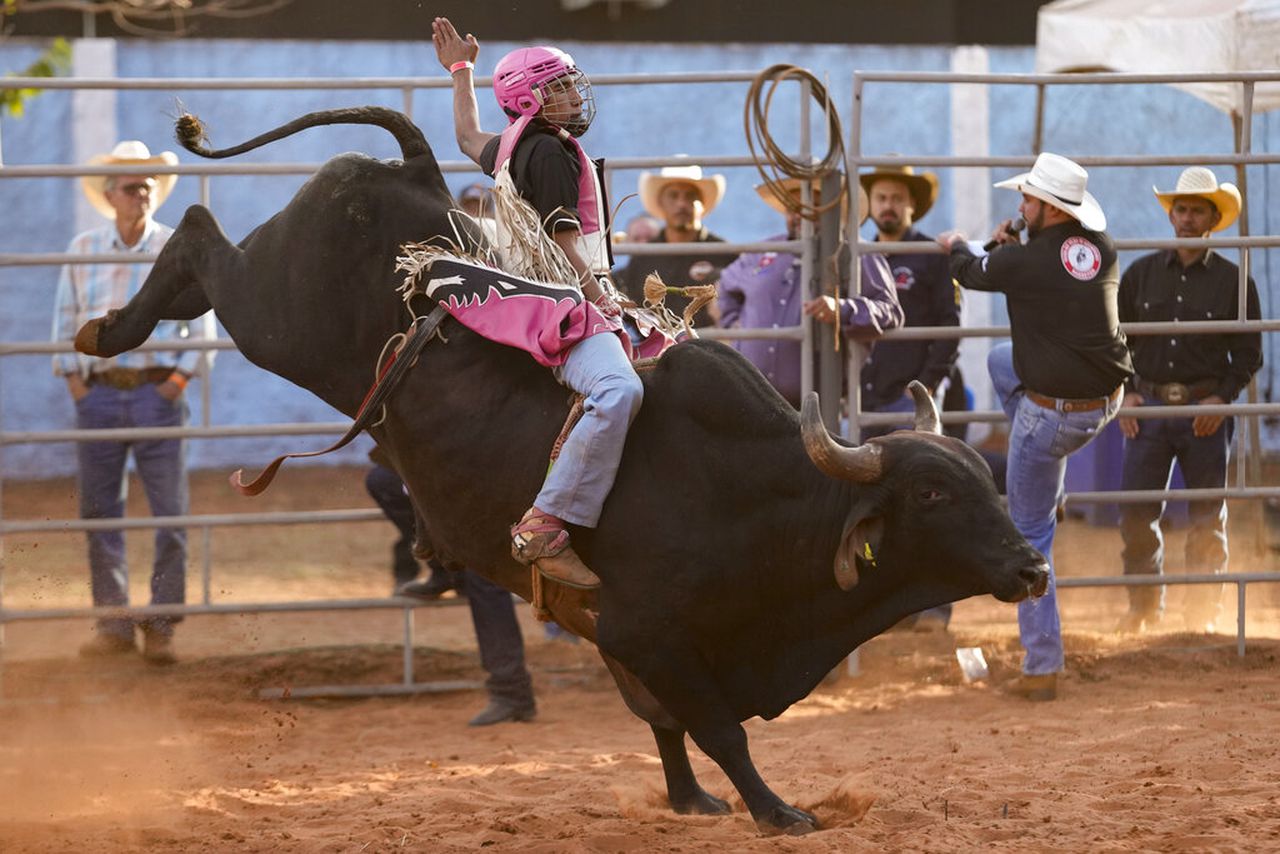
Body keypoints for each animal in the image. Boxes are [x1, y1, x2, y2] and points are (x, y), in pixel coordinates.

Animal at [72, 106, 1049, 834]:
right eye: (932, 492)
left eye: (984, 481)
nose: (1033, 567)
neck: (762, 501)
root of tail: (418, 177)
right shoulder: (649, 633)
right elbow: (718, 728)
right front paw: (776, 811)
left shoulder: (621, 638)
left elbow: (666, 726)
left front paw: (689, 801)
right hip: (280, 316)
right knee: (199, 235)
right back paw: (109, 330)